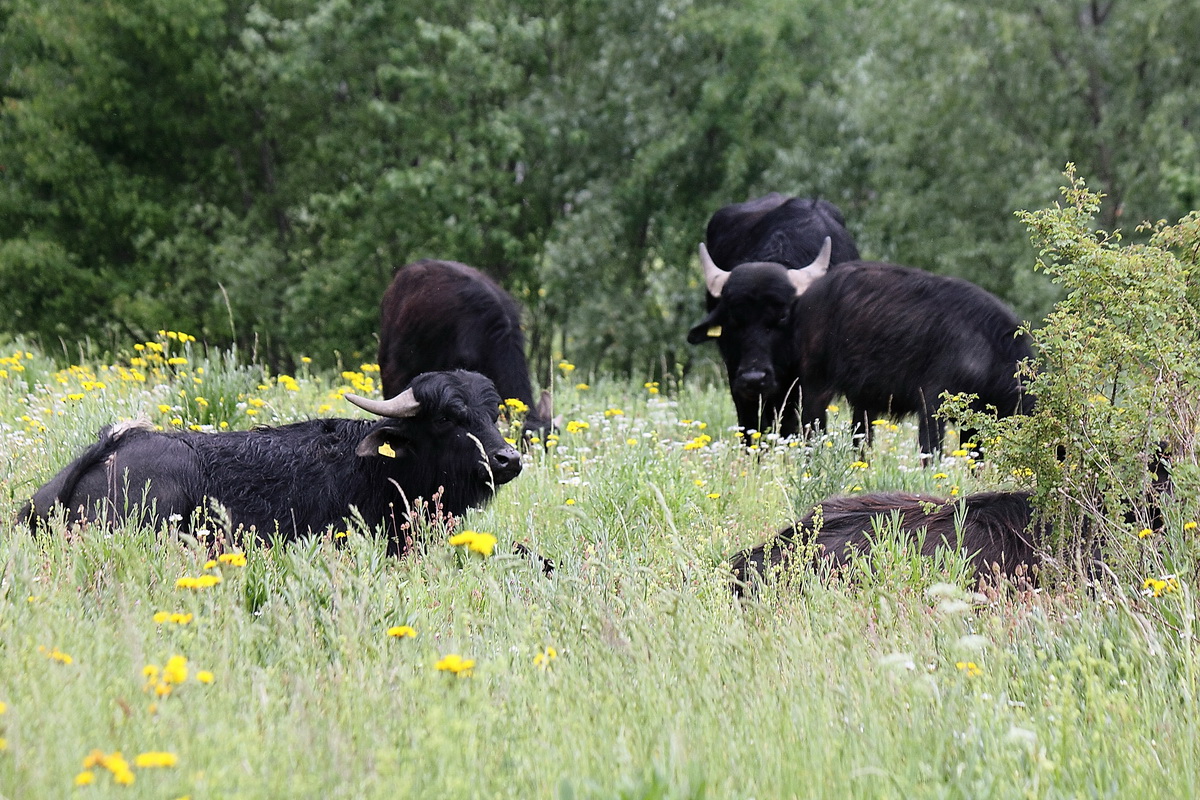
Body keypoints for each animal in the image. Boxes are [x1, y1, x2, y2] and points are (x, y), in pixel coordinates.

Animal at [691, 248, 1036, 455]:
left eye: (780, 317)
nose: (753, 378)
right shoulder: (932, 405)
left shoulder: (973, 423)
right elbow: (932, 454)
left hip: (864, 399)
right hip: (816, 387)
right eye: (733, 320)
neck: (988, 349)